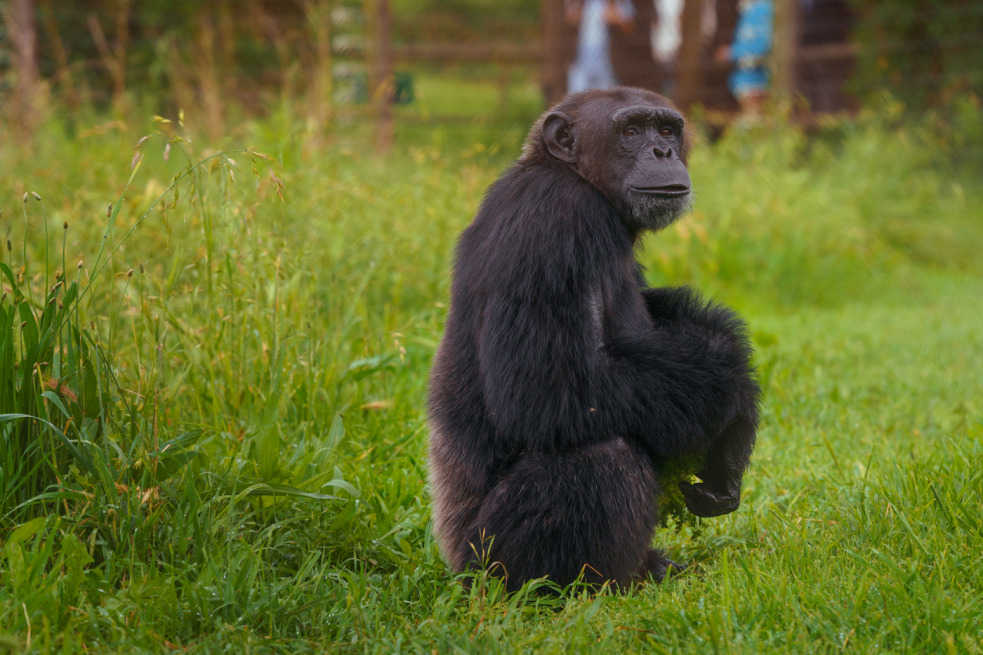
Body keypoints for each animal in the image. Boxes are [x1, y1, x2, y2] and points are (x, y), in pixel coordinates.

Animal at [428, 84, 760, 592]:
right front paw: (733, 383)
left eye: (667, 129)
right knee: (605, 456)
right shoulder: (553, 224)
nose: (662, 151)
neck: (575, 177)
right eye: (631, 131)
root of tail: (457, 570)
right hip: (491, 560)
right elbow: (554, 388)